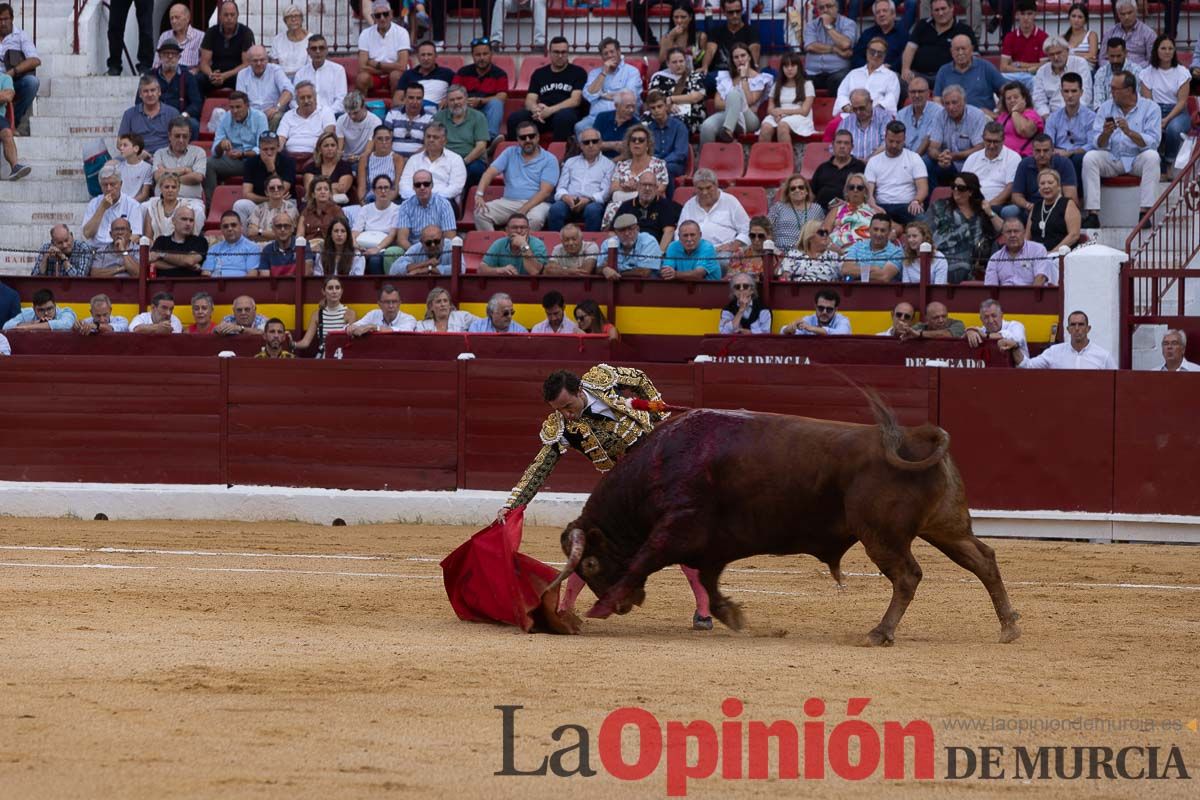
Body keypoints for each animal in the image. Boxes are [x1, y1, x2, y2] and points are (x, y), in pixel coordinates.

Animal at [549, 398, 1017, 647]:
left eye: (589, 564)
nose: (624, 606)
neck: (661, 463)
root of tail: (916, 436)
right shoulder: (712, 546)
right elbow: (709, 582)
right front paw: (733, 616)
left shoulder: (676, 527)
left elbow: (643, 559)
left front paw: (599, 607)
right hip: (946, 527)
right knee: (983, 559)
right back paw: (1009, 626)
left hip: (881, 536)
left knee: (907, 576)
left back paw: (879, 632)